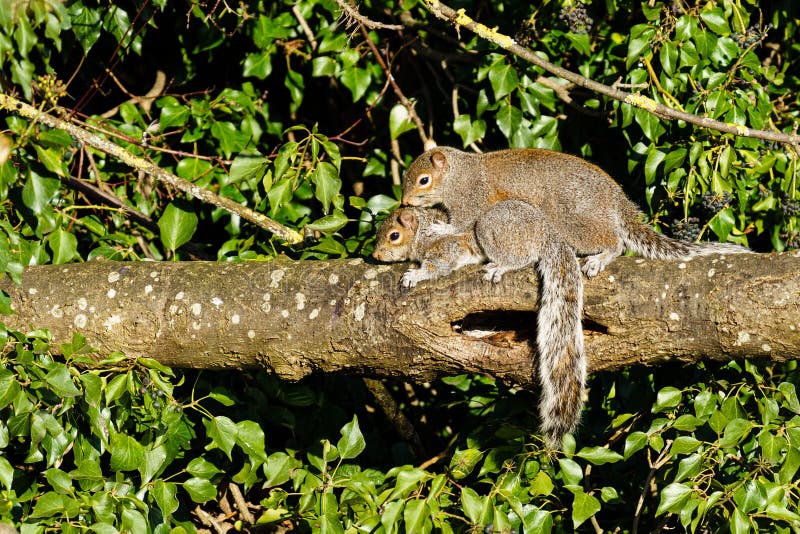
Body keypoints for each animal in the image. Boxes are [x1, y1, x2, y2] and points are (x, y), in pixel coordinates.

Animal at [373, 200, 586, 447]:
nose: (376, 254)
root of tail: (547, 236)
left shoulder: (447, 247)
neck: (422, 232)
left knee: (520, 258)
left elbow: (437, 266)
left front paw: (415, 275)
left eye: (394, 235)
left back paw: (500, 267)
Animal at [402, 146, 750, 277]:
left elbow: (463, 223)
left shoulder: (472, 199)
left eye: (423, 180)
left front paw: (440, 229)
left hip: (574, 222)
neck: (458, 174)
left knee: (616, 242)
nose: (405, 202)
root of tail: (615, 200)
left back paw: (601, 257)